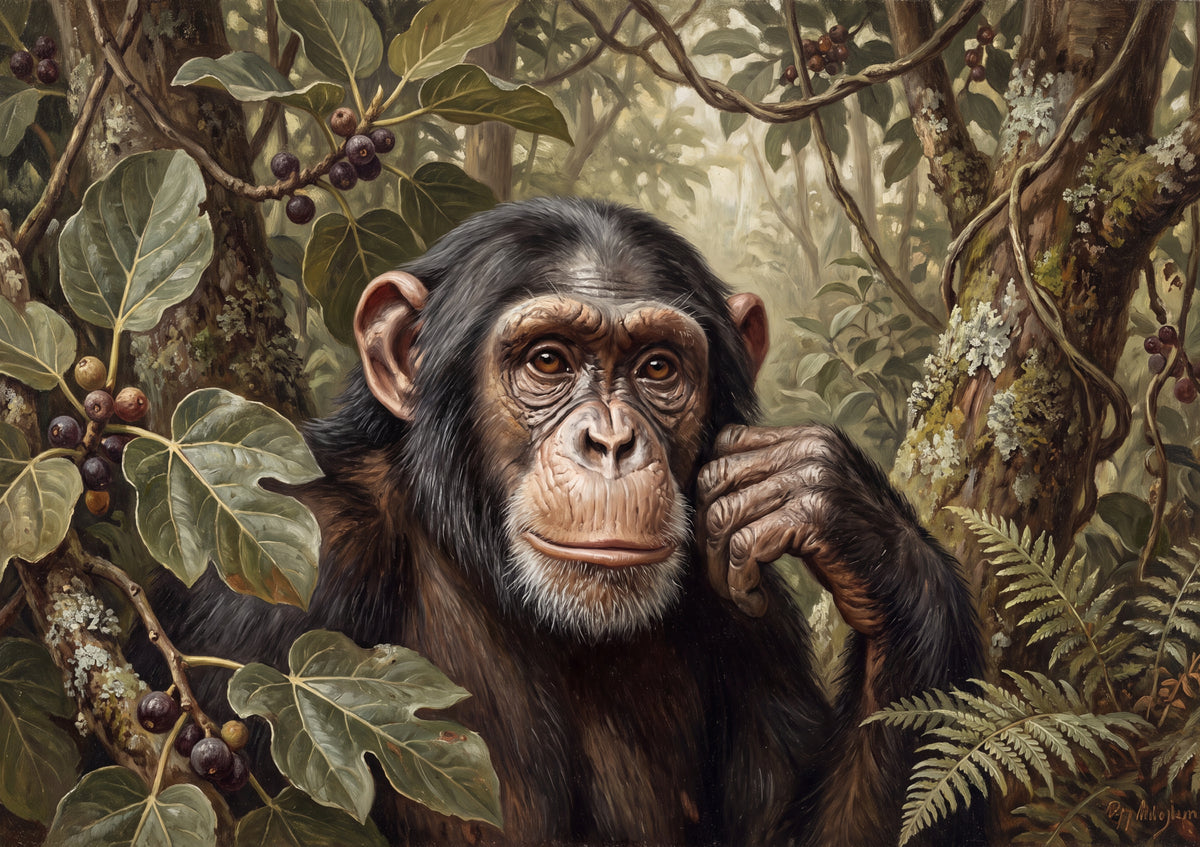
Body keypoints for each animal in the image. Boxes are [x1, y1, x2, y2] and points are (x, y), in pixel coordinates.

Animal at [155, 197, 984, 846]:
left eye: (657, 367)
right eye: (548, 360)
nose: (611, 441)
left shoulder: (749, 616)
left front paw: (852, 524)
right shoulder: (278, 582)